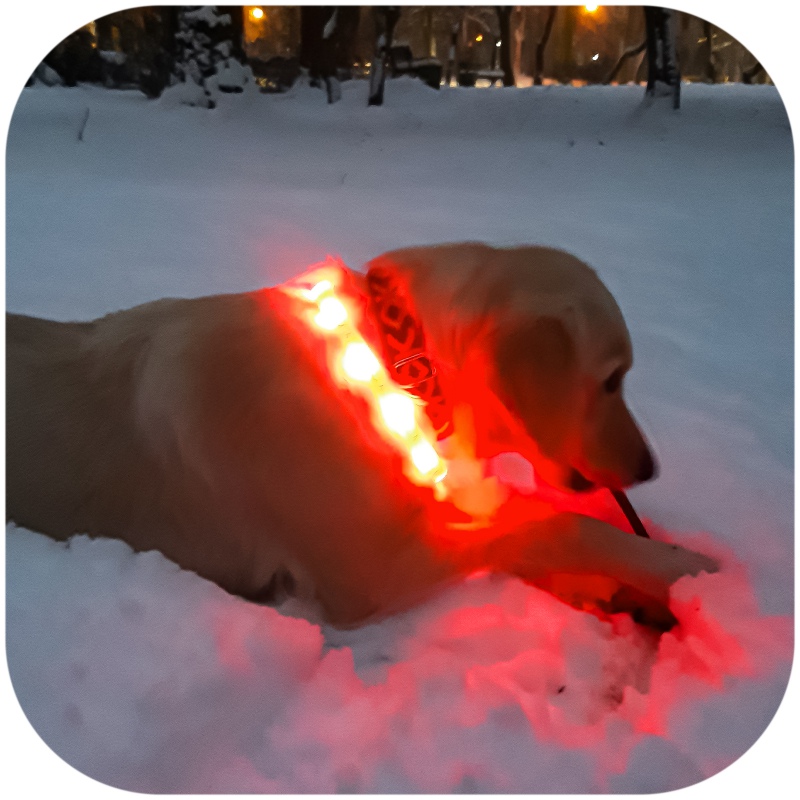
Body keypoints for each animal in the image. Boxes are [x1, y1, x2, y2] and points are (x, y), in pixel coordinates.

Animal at [6, 241, 720, 628]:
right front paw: (680, 567)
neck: (391, 362)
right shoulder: (368, 574)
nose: (650, 469)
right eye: (612, 379)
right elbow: (552, 525)